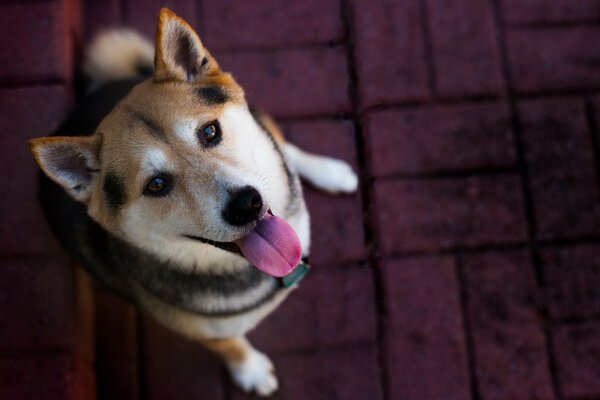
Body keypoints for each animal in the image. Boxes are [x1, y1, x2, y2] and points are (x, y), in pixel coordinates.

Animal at [27, 7, 356, 396]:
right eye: (156, 185)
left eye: (210, 131)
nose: (246, 204)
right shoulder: (204, 332)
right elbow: (231, 344)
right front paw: (251, 370)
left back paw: (329, 171)